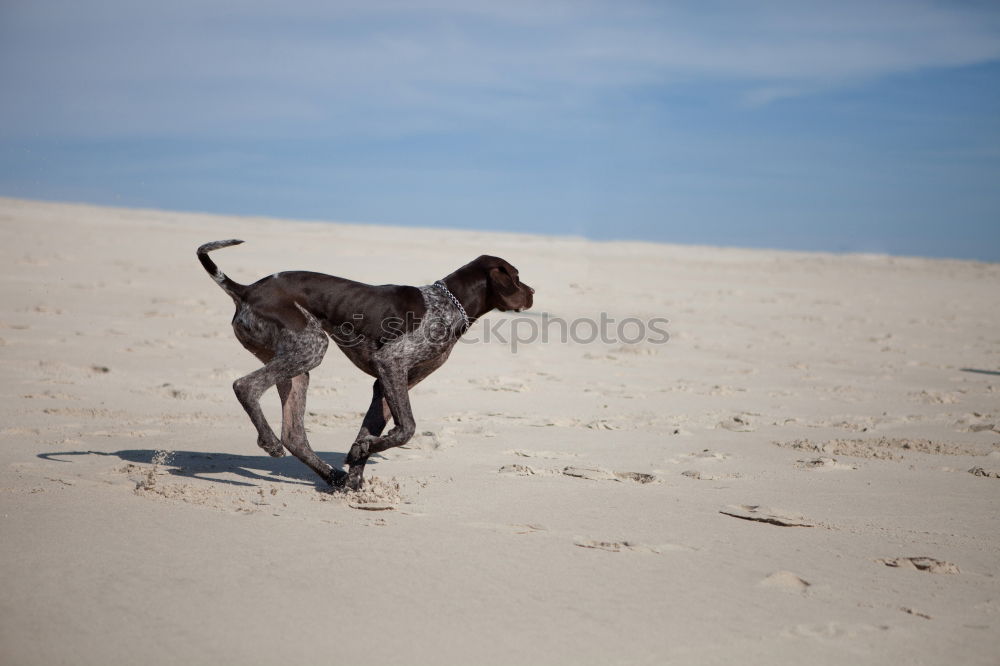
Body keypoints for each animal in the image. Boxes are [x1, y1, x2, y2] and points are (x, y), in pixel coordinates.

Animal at [198, 240, 536, 488]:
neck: (449, 305)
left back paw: (331, 476)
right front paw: (361, 459)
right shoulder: (391, 363)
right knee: (245, 386)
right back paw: (269, 442)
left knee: (294, 435)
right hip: (311, 347)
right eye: (517, 278)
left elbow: (371, 431)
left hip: (297, 365)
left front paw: (355, 474)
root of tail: (246, 290)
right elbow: (408, 428)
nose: (533, 292)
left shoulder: (388, 381)